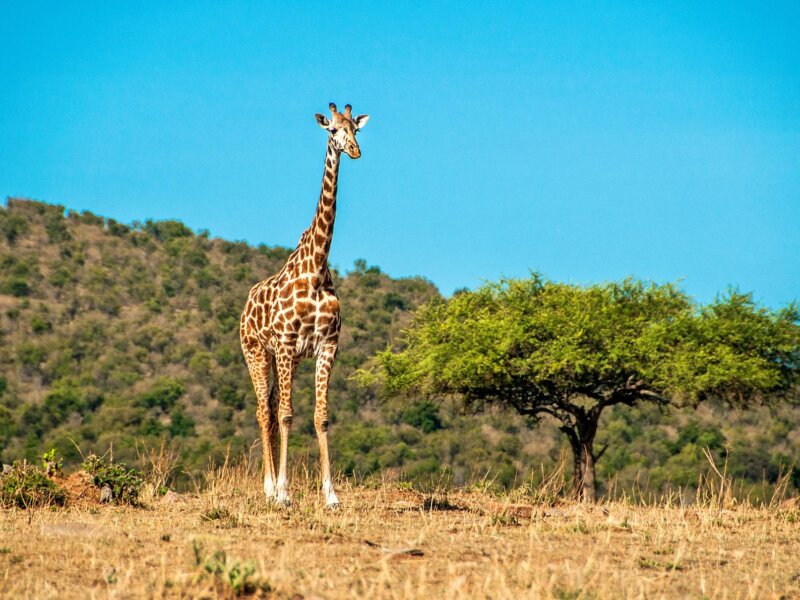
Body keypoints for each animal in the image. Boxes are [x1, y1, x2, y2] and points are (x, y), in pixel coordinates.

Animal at [240, 102, 369, 507]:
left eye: (355, 128)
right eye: (332, 131)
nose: (354, 151)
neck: (315, 269)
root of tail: (245, 306)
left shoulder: (326, 345)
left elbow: (319, 416)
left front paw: (331, 495)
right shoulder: (284, 344)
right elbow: (286, 415)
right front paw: (283, 492)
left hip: (288, 359)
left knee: (270, 406)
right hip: (256, 352)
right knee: (264, 410)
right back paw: (268, 488)